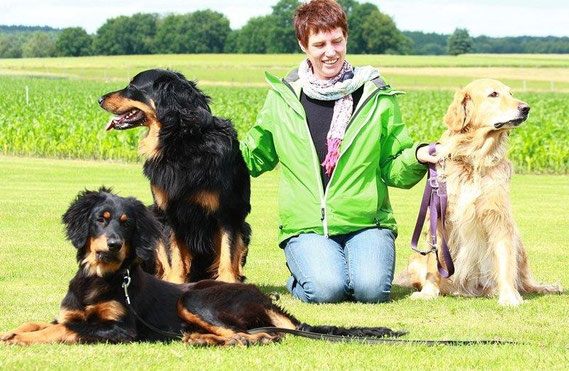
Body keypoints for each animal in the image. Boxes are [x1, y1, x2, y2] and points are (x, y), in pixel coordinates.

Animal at [0, 190, 402, 348]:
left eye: (127, 225)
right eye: (101, 219)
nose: (112, 246)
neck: (100, 278)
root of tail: (261, 297)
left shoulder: (120, 329)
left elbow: (64, 331)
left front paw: (23, 339)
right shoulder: (71, 313)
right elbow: (43, 322)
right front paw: (13, 331)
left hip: (196, 300)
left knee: (256, 335)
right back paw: (198, 339)